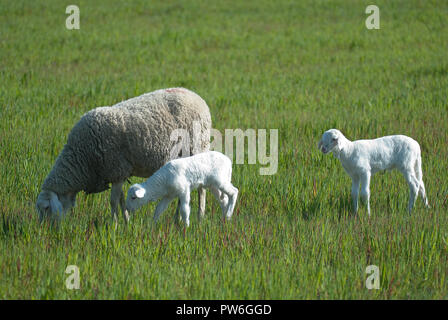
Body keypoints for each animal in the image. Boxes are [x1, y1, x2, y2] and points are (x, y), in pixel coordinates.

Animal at [36, 87, 212, 222]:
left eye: (46, 208)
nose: (45, 231)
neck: (82, 158)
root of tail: (197, 97)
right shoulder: (118, 174)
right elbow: (120, 199)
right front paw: (127, 222)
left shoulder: (117, 168)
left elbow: (113, 201)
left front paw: (114, 224)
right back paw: (178, 219)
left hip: (198, 148)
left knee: (202, 189)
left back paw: (199, 217)